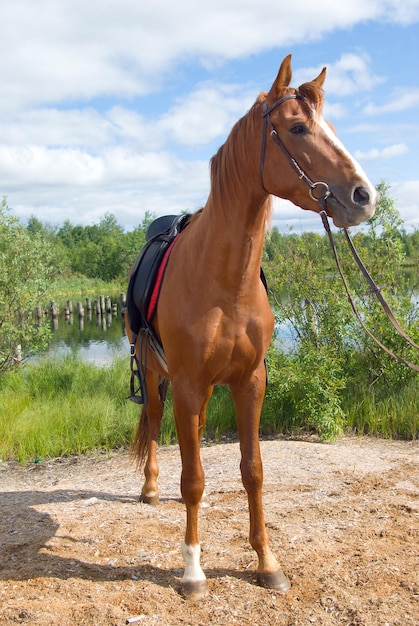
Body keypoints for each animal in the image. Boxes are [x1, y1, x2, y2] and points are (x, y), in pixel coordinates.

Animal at [124, 56, 378, 596]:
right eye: (298, 128)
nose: (363, 197)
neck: (225, 281)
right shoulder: (189, 383)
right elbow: (194, 477)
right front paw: (193, 570)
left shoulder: (249, 383)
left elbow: (252, 471)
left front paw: (266, 562)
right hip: (155, 373)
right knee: (156, 421)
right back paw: (152, 488)